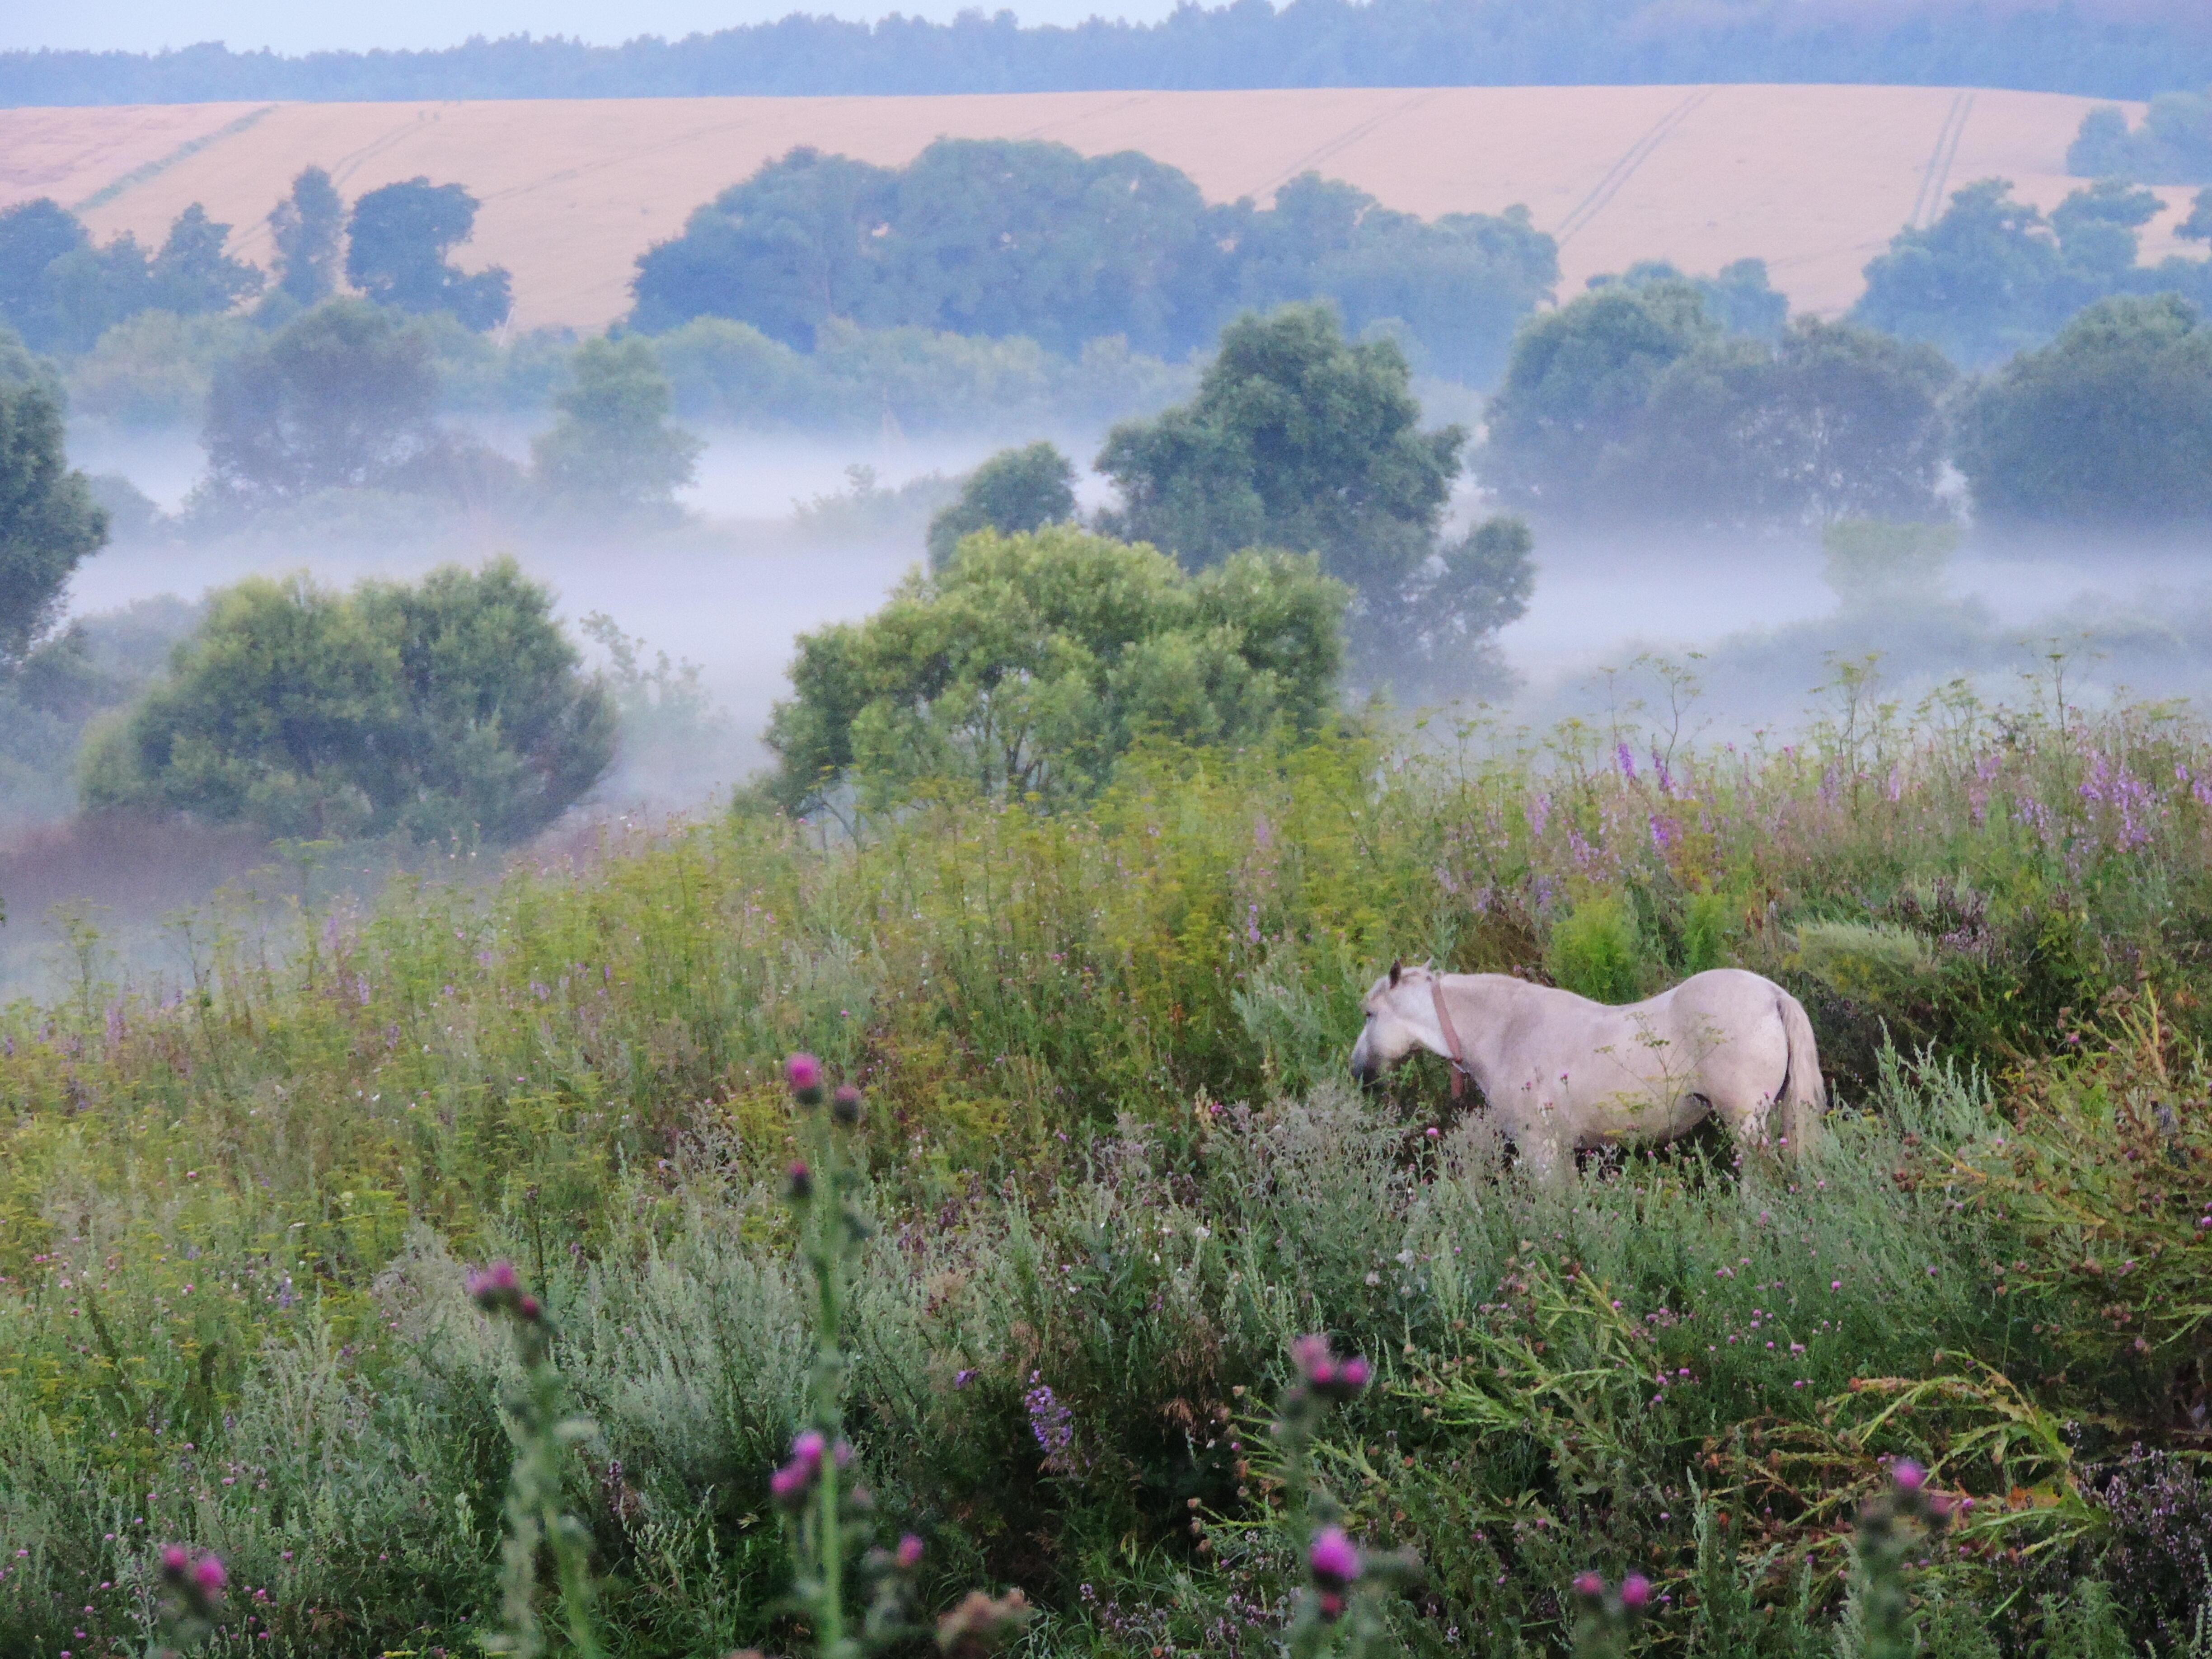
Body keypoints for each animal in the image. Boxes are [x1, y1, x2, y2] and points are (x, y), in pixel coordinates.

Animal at [1345, 960, 1831, 1186]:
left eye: (1369, 1014)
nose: (1357, 1071)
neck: (1507, 1029)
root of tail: (1772, 994)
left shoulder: (1540, 1148)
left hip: (1746, 1123)